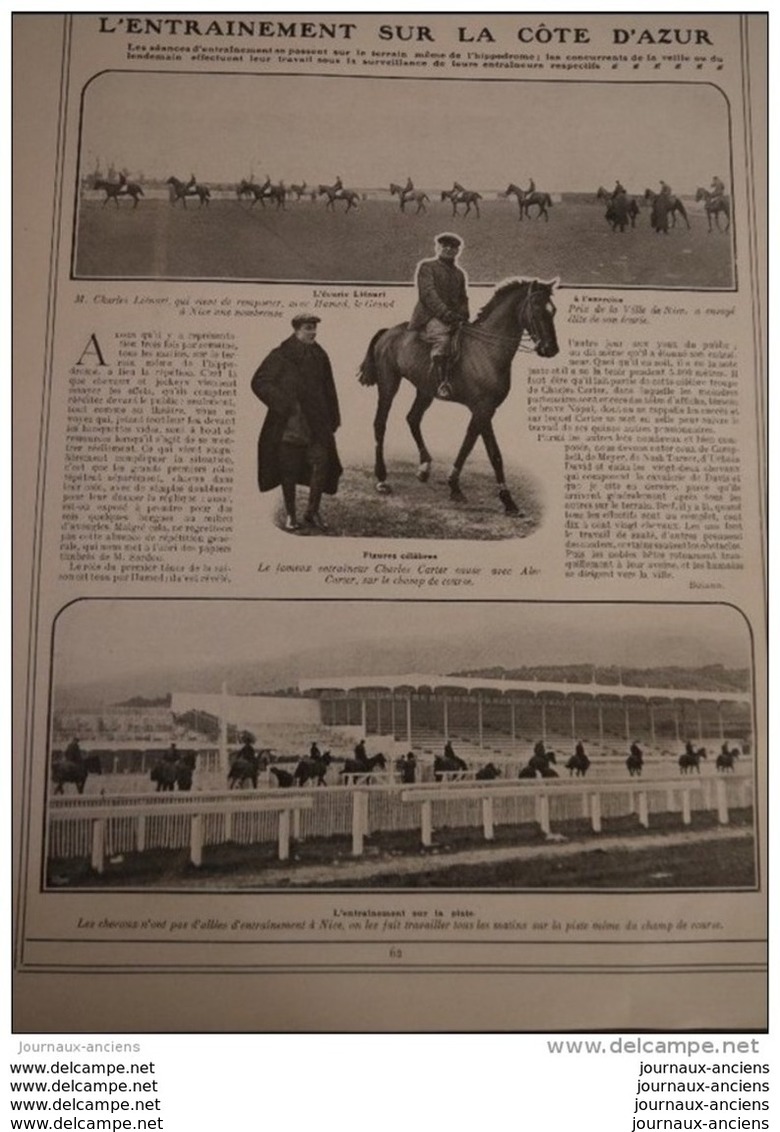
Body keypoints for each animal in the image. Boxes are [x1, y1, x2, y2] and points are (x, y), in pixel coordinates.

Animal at [360, 280, 559, 516]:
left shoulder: (484, 411)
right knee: (380, 423)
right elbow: (494, 453)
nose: (551, 349)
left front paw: (454, 486)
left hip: (425, 390)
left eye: (553, 311)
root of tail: (388, 332)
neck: (487, 349)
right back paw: (382, 479)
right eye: (536, 308)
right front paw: (508, 500)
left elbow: (468, 443)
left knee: (413, 418)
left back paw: (424, 467)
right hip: (389, 384)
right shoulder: (483, 408)